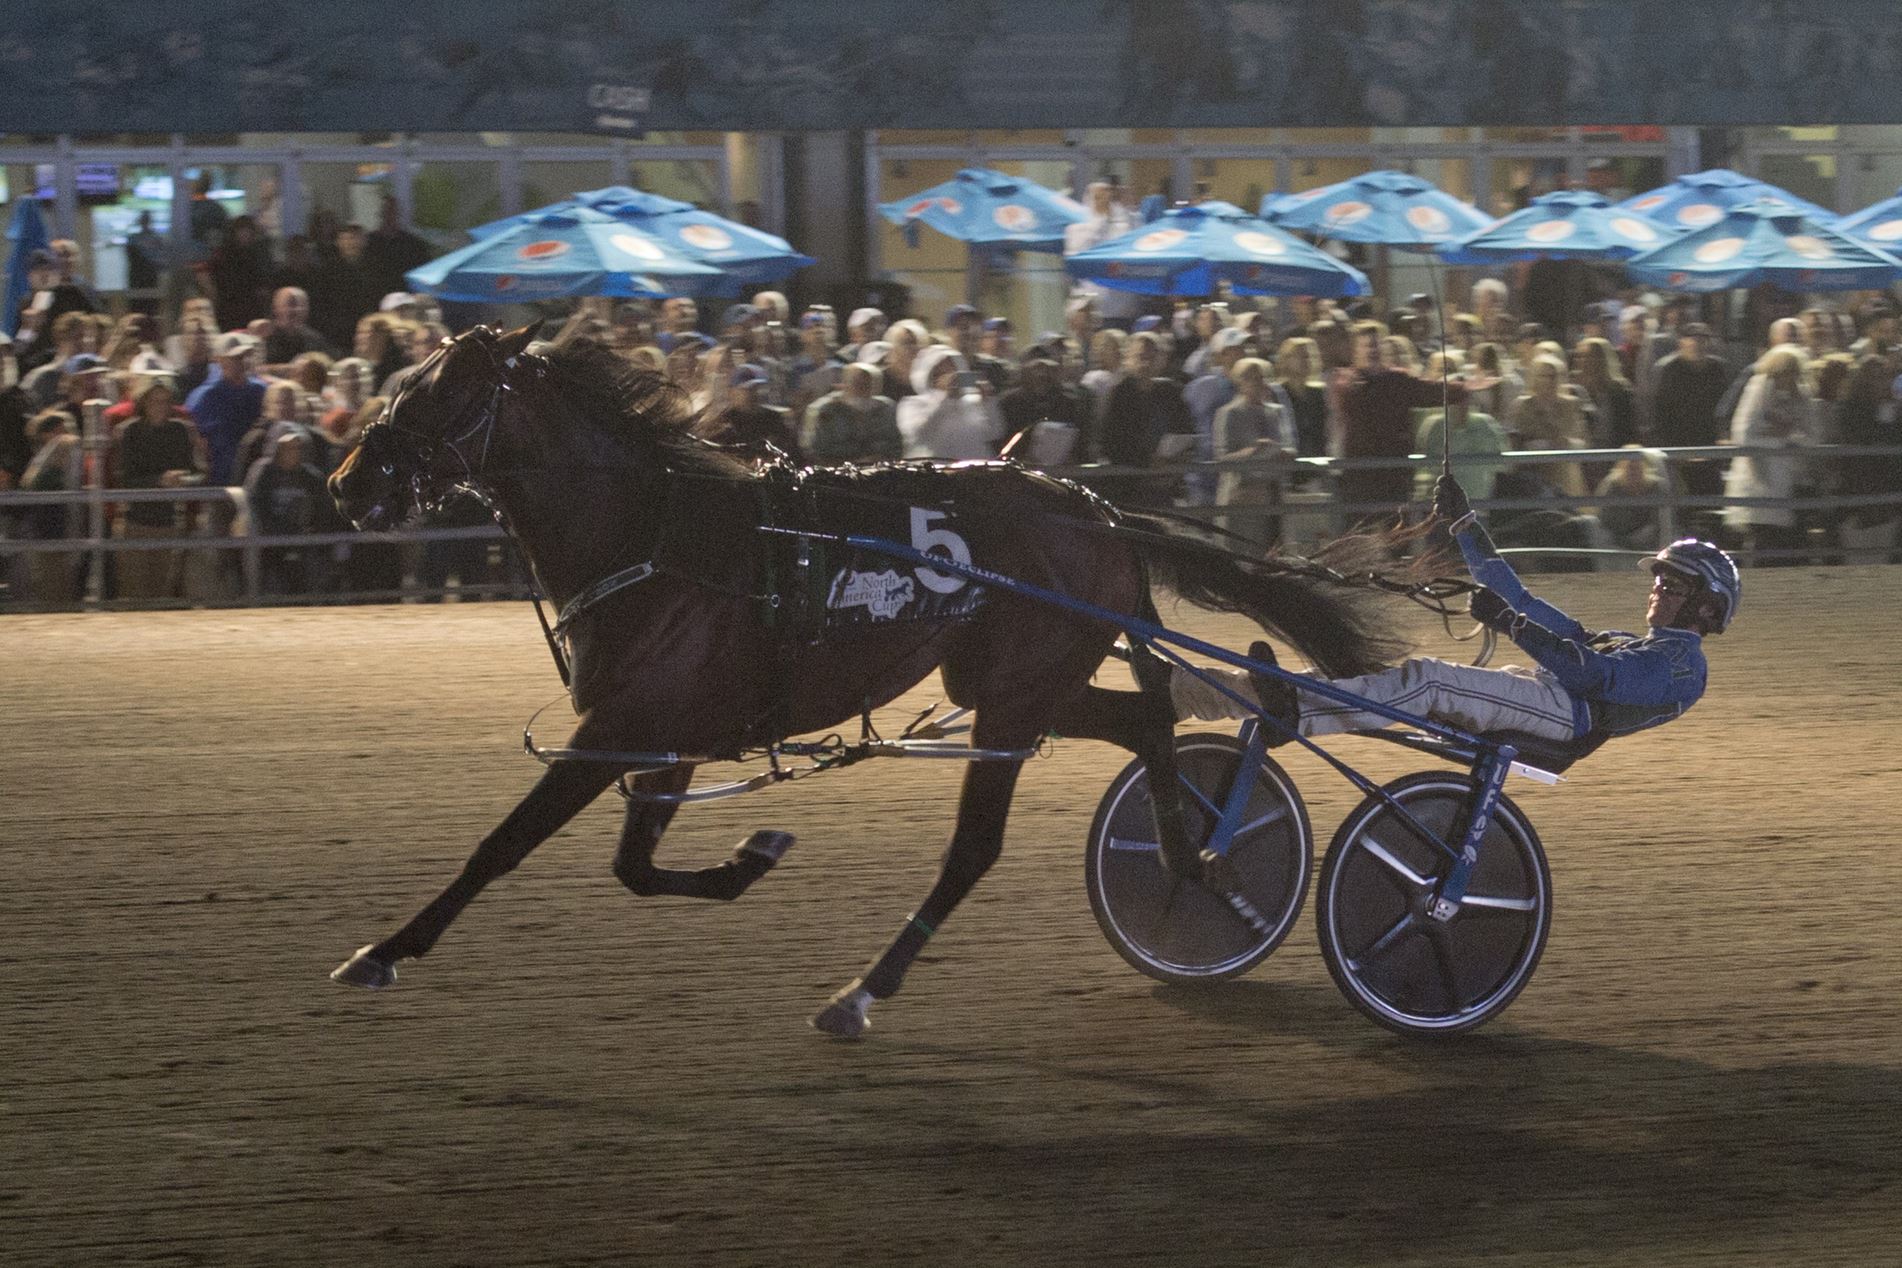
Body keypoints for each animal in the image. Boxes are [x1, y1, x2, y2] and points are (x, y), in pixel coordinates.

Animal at [319, 330, 1407, 1041]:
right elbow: (634, 865)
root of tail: (1094, 507)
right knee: (1147, 718)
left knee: (975, 847)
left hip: (1016, 694)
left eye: (437, 391)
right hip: (1024, 681)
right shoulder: (662, 738)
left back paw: (863, 992)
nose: (343, 481)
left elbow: (502, 843)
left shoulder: (615, 731)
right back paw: (1193, 857)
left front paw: (381, 951)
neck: (657, 533)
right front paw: (751, 854)